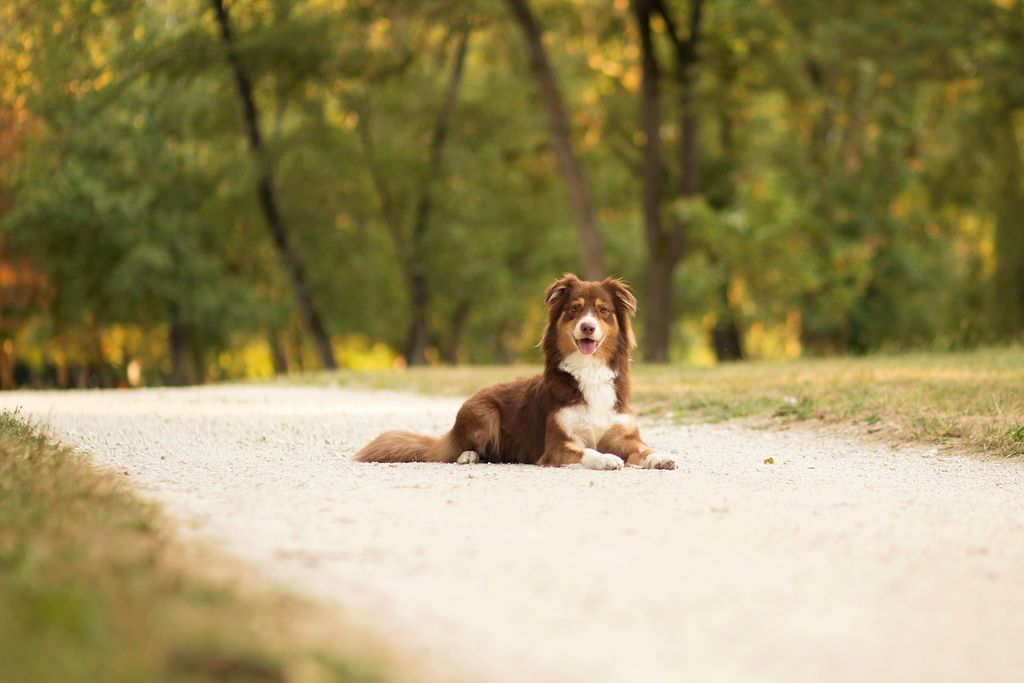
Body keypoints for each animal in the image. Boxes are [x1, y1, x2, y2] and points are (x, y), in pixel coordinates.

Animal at [356, 272, 675, 471]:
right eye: (574, 309)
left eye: (603, 311)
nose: (587, 327)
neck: (590, 371)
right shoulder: (557, 445)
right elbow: (588, 451)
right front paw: (606, 459)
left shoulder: (625, 437)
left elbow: (644, 449)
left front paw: (660, 456)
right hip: (485, 414)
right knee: (460, 449)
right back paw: (467, 455)